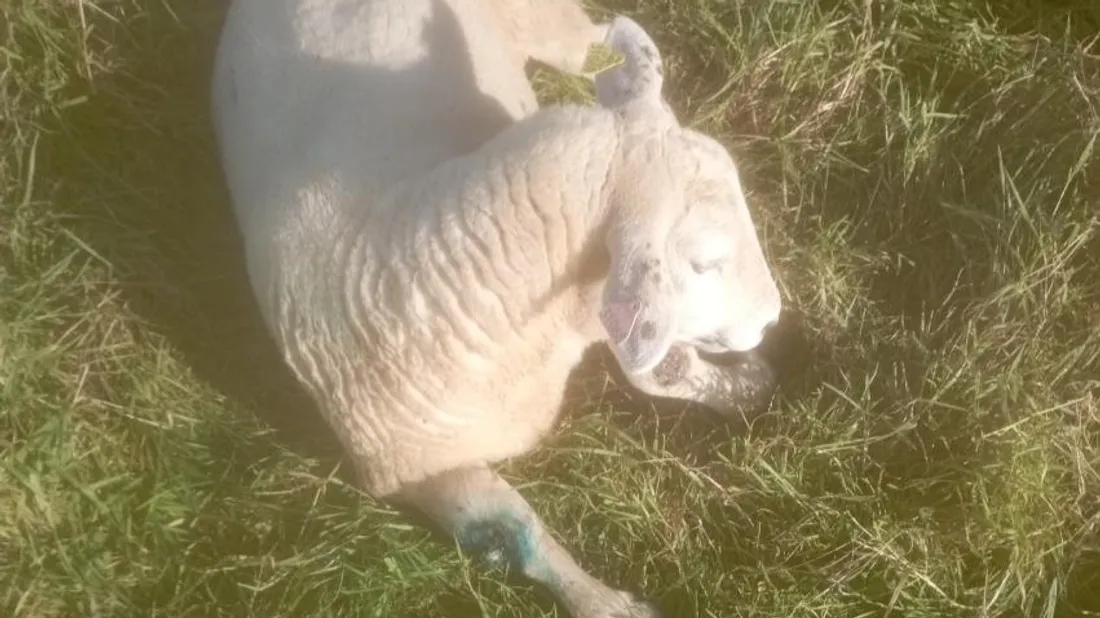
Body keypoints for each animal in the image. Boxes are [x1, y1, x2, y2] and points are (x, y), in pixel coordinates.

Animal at [209, 1, 783, 616]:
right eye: (705, 262)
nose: (771, 318)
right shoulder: (416, 470)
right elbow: (518, 531)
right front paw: (603, 602)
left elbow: (660, 370)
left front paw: (745, 388)